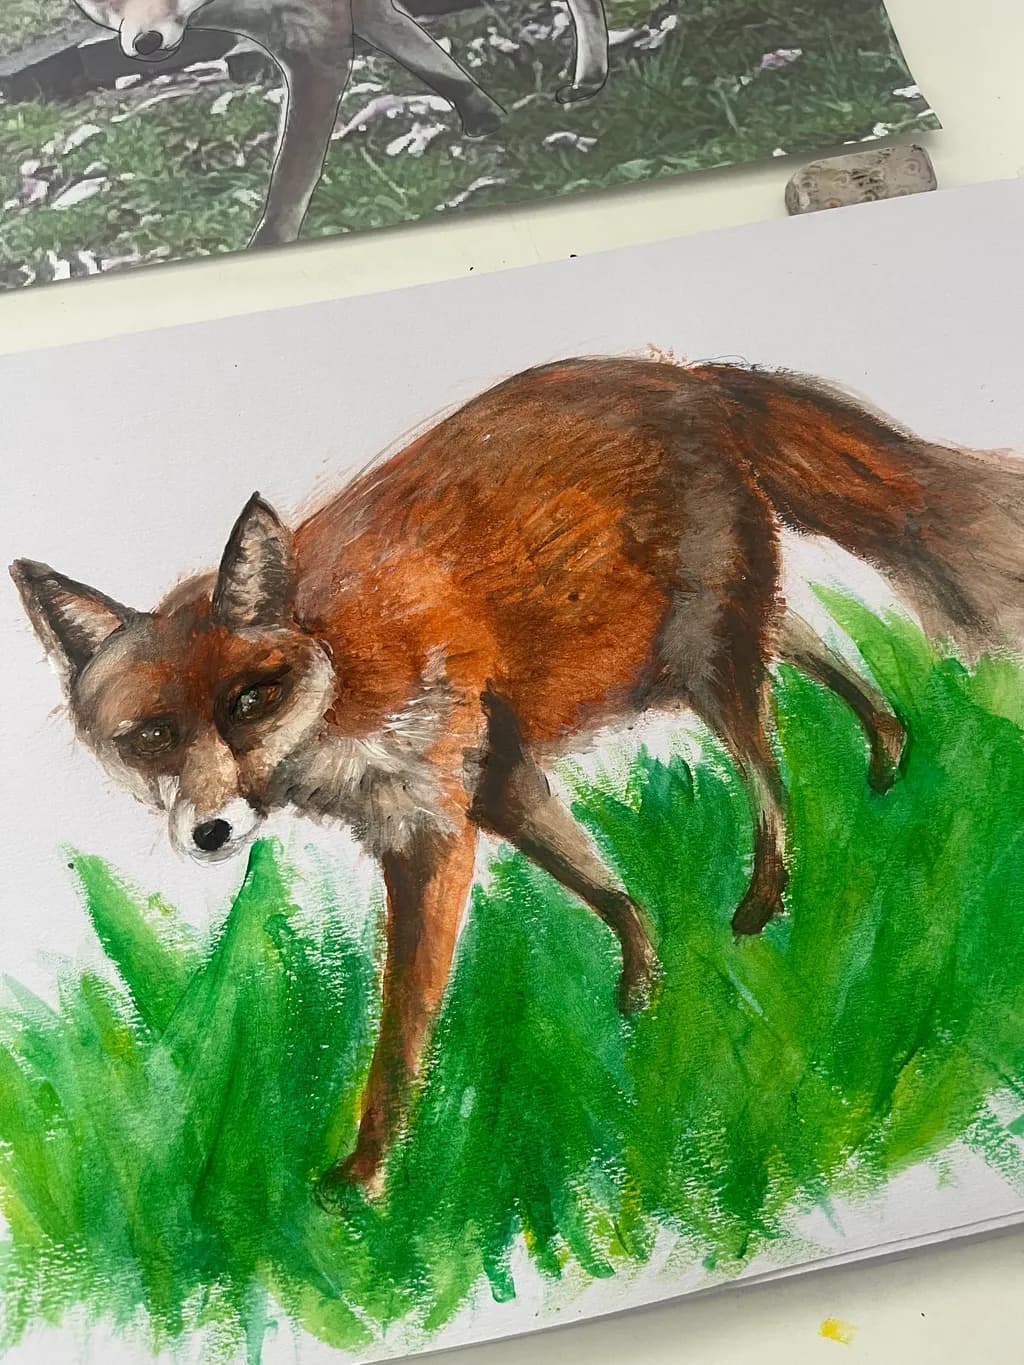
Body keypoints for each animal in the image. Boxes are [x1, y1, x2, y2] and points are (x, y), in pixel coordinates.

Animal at [12, 355, 1024, 1196]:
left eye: (251, 702)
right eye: (152, 736)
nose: (212, 832)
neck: (342, 662)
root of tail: (689, 374)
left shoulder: (433, 830)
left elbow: (400, 1033)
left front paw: (369, 1174)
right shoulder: (497, 780)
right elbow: (604, 884)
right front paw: (642, 989)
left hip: (703, 661)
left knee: (769, 771)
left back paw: (768, 894)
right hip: (688, 652)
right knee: (817, 651)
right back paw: (888, 753)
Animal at [73, 0, 610, 247]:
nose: (144, 43)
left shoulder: (315, 51)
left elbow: (289, 183)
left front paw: (266, 249)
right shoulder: (353, 16)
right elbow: (437, 65)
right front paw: (484, 115)